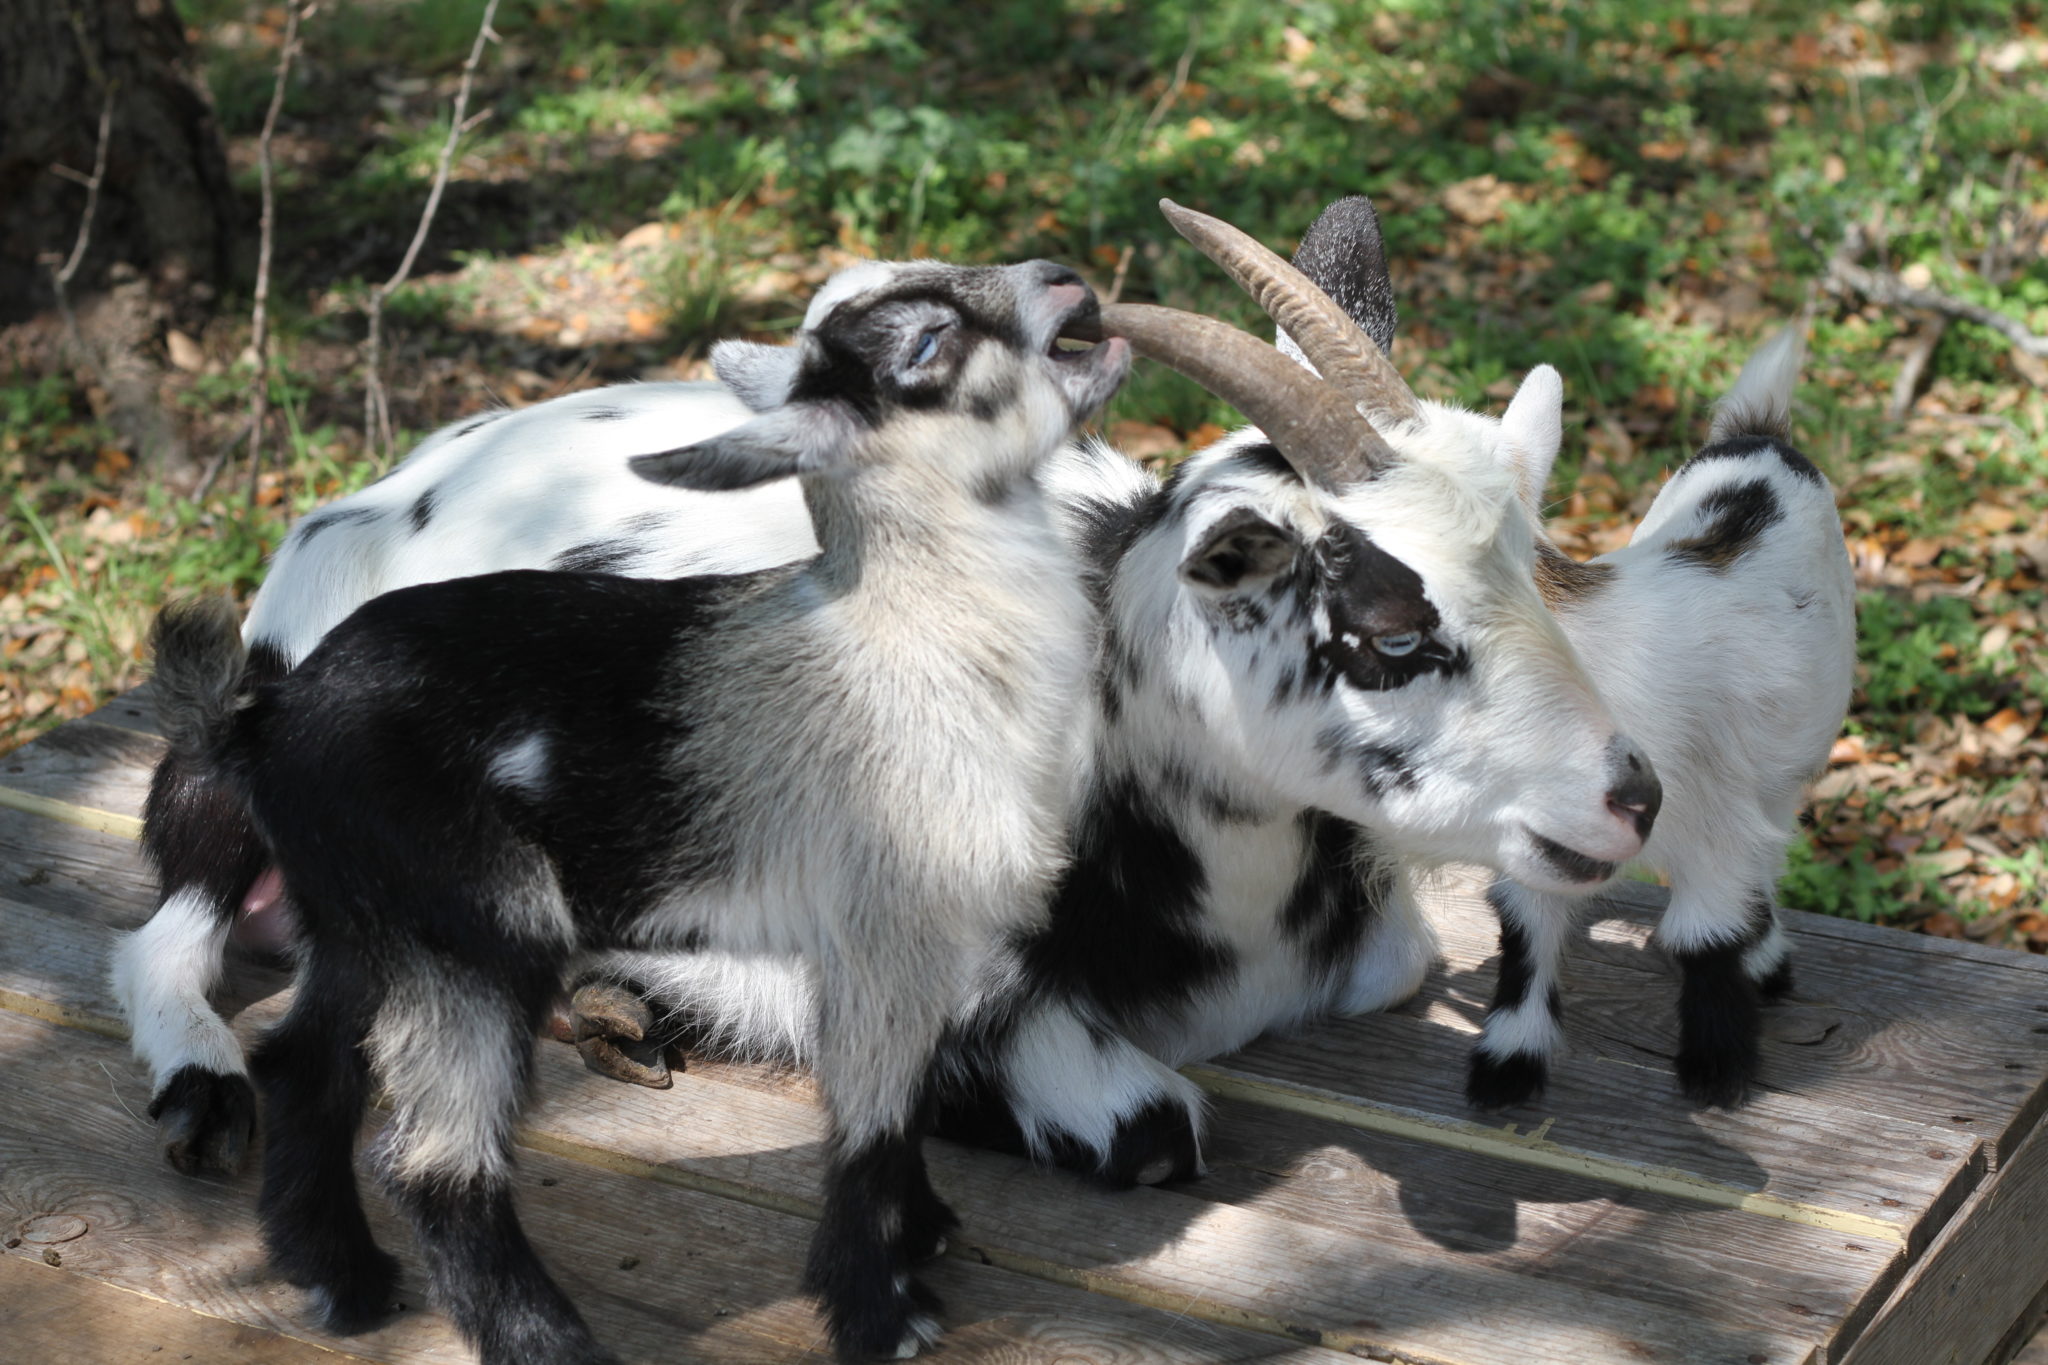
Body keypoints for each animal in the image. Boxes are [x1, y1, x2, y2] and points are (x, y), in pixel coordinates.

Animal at [141, 255, 1133, 1363]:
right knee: (434, 1155)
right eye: (926, 343)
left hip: (363, 916)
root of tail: (264, 717)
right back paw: (543, 1340)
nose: (1067, 282)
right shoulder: (884, 924)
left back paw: (341, 1280)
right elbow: (873, 1116)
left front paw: (922, 1237)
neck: (901, 633)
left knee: (303, 1068)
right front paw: (880, 1313)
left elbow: (907, 1096)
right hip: (475, 925)